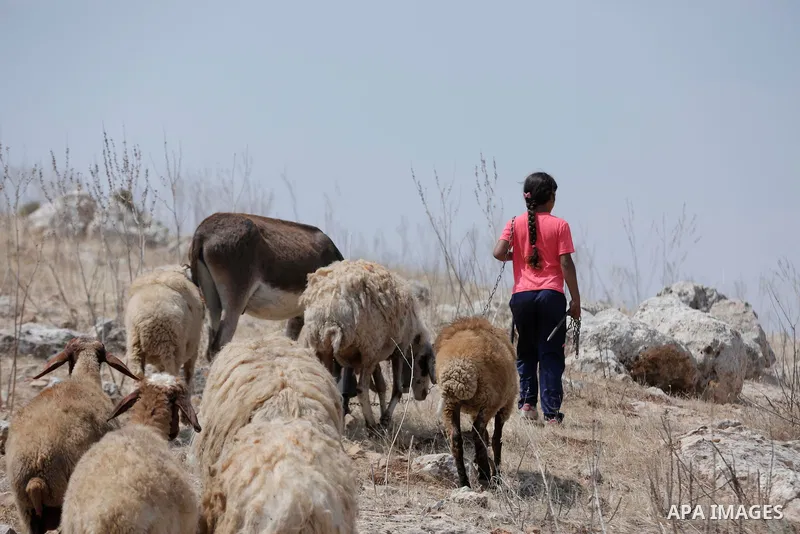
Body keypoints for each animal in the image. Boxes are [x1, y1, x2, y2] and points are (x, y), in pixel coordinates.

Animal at [124, 263, 206, 393]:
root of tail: (150, 318)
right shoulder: (194, 348)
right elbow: (189, 374)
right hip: (171, 350)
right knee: (172, 375)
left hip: (135, 348)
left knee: (137, 378)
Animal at [297, 258, 436, 429]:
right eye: (424, 367)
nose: (423, 395)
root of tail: (330, 312)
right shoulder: (398, 349)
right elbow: (396, 389)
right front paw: (385, 419)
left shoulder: (377, 354)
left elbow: (381, 386)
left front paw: (383, 416)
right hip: (368, 347)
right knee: (361, 389)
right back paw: (371, 425)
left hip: (323, 347)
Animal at [434, 315, 519, 489]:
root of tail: (458, 369)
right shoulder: (505, 407)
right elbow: (496, 440)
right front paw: (496, 475)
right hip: (489, 401)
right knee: (478, 433)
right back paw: (485, 475)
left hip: (450, 403)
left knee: (456, 438)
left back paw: (464, 481)